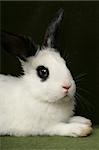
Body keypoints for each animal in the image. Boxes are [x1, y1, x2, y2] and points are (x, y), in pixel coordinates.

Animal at [0, 8, 92, 137]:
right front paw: (81, 128)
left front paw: (83, 120)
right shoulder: (44, 127)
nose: (67, 86)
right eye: (43, 71)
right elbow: (60, 126)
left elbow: (68, 119)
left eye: (64, 63)